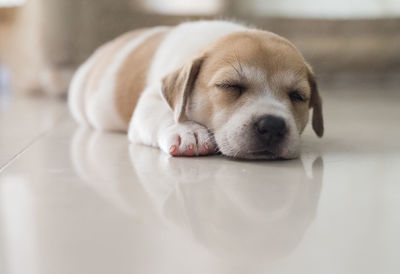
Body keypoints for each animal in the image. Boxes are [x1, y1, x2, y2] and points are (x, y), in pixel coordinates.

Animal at [68, 20, 322, 159]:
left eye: (298, 96)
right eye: (230, 86)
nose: (272, 125)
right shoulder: (150, 100)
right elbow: (165, 114)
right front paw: (188, 131)